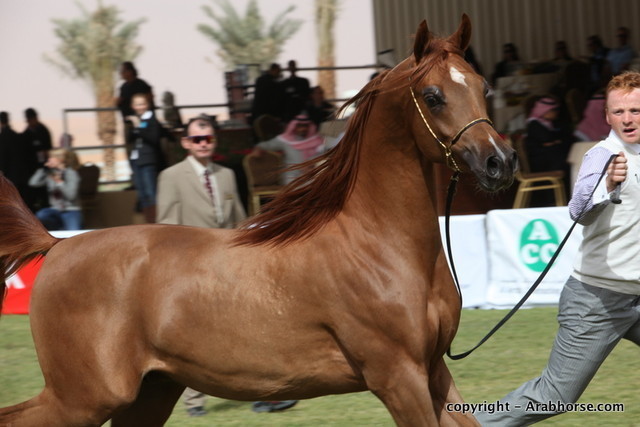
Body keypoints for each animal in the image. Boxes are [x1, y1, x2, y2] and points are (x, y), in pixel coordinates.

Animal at [0, 14, 516, 427]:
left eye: (481, 86)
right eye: (433, 95)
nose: (500, 162)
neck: (378, 246)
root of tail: (58, 245)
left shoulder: (434, 370)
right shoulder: (397, 376)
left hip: (149, 392)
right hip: (83, 397)